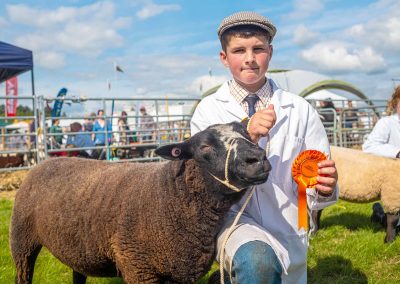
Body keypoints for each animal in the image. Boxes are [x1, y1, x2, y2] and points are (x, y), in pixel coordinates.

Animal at [10, 121, 272, 284]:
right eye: (204, 146)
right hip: (21, 239)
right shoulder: (138, 267)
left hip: (77, 245)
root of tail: (44, 161)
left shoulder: (177, 271)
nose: (257, 158)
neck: (169, 197)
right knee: (23, 272)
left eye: (248, 134)